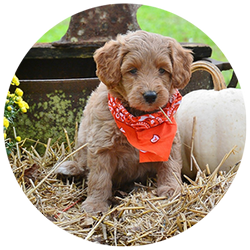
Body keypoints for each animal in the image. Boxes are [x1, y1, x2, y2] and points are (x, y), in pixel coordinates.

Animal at [56, 29, 193, 213]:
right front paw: (95, 204)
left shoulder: (170, 142)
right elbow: (99, 178)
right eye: (133, 70)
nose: (150, 95)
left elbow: (170, 166)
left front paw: (172, 188)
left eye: (162, 70)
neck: (140, 120)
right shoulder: (102, 146)